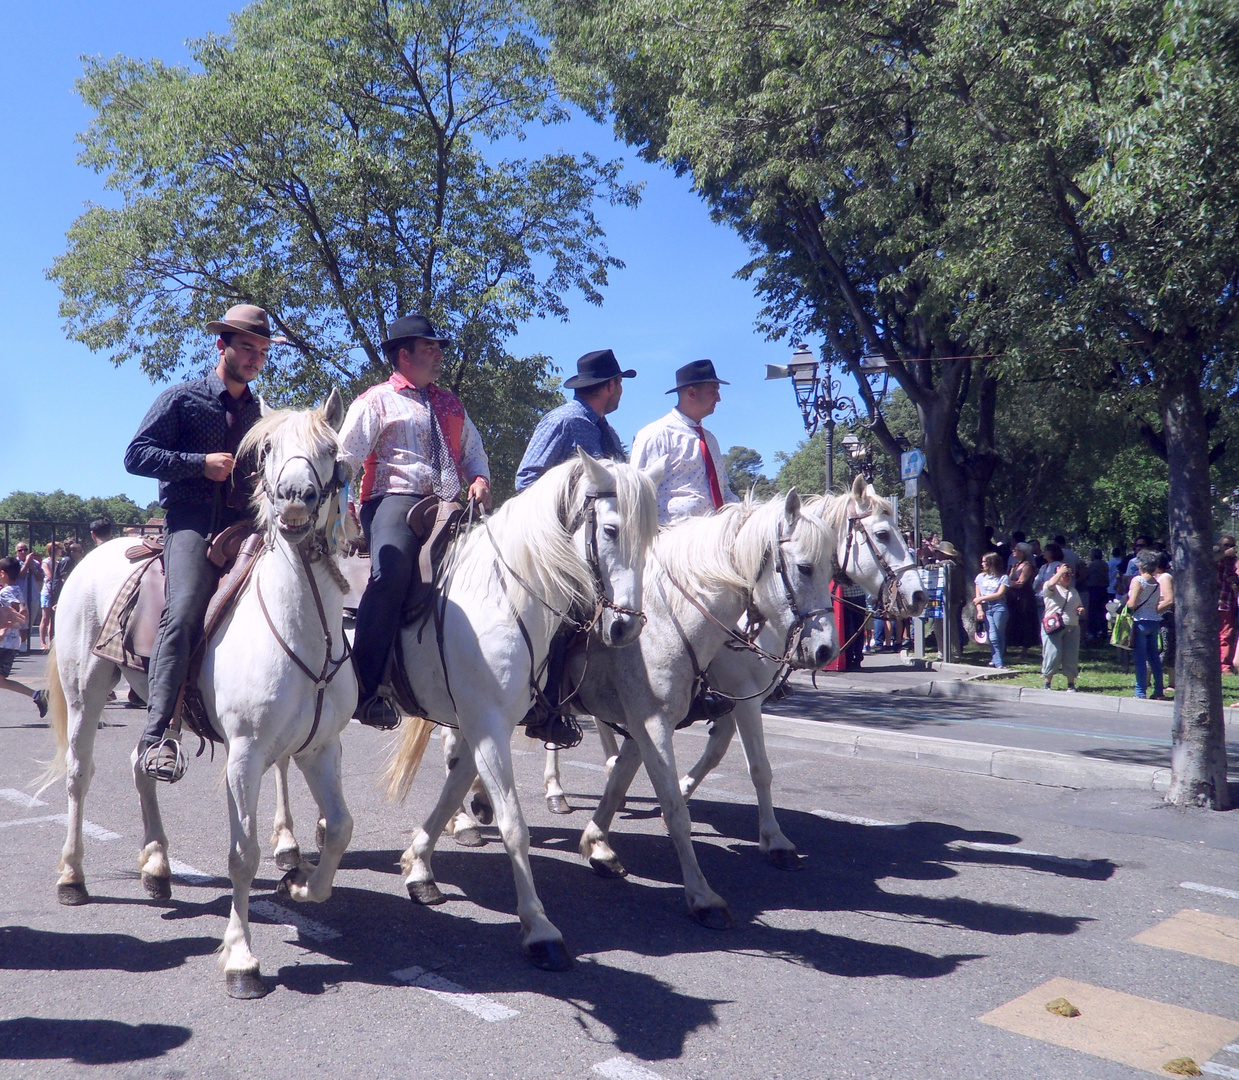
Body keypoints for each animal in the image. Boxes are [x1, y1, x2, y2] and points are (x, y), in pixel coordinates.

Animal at [43, 391, 354, 1000]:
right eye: (268, 451)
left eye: (330, 450)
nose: (296, 501)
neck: (304, 625)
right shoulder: (246, 754)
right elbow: (243, 854)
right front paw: (241, 959)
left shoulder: (319, 748)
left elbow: (338, 830)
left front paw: (300, 885)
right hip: (86, 689)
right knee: (78, 775)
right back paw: (72, 877)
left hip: (158, 706)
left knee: (142, 763)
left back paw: (157, 868)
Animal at [384, 450, 659, 975]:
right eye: (611, 530)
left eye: (652, 537)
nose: (626, 628)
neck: (501, 596)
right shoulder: (488, 725)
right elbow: (514, 826)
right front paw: (540, 929)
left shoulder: (481, 723)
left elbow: (453, 791)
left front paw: (419, 866)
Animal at [567, 492, 837, 921]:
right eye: (805, 567)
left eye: (833, 567)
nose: (827, 650)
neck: (667, 620)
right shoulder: (665, 721)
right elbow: (679, 807)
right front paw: (703, 895)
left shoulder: (648, 723)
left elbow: (621, 780)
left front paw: (598, 846)